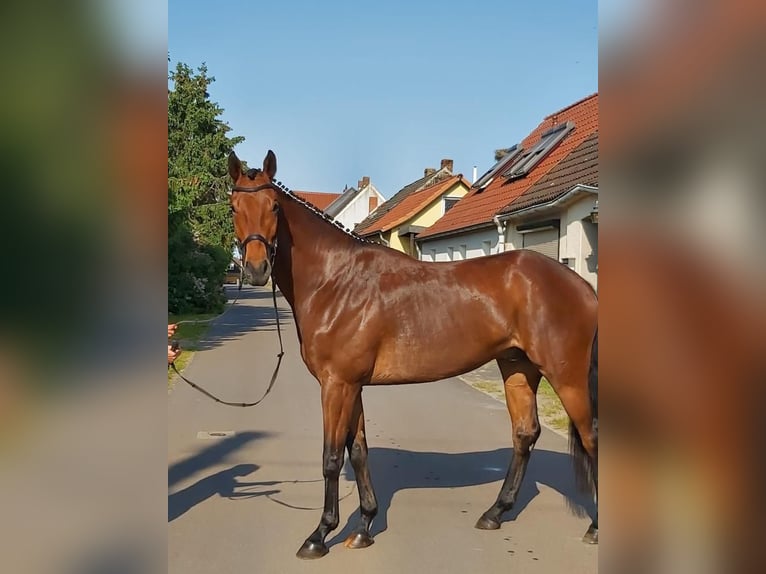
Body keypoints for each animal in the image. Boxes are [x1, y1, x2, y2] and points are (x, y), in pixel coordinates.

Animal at [228, 151, 600, 560]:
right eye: (234, 207)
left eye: (275, 207)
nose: (256, 269)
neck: (335, 281)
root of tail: (581, 285)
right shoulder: (352, 386)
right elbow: (358, 450)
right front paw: (364, 527)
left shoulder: (336, 385)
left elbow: (331, 457)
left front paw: (319, 535)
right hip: (518, 368)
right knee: (525, 433)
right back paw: (495, 513)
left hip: (566, 376)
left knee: (591, 438)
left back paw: (595, 528)